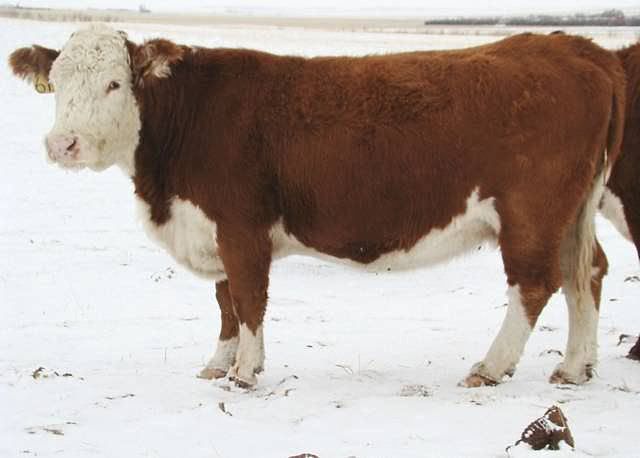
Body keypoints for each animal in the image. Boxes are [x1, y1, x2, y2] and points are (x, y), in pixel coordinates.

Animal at [9, 25, 624, 389]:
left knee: (535, 285)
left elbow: (248, 298)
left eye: (115, 84)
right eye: (56, 81)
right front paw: (217, 364)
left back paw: (491, 367)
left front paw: (245, 372)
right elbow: (224, 301)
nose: (62, 145)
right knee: (586, 273)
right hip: (571, 213)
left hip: (531, 212)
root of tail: (573, 46)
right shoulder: (212, 228)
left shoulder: (241, 226)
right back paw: (574, 367)